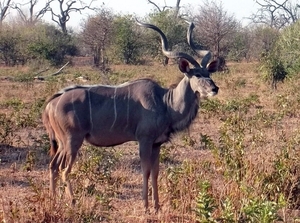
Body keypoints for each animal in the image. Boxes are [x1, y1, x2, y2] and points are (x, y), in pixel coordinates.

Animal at [42, 19, 219, 213]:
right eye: (197, 75)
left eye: (209, 73)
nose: (214, 89)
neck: (165, 102)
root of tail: (50, 104)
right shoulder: (144, 140)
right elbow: (146, 171)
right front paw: (146, 207)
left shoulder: (156, 144)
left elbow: (155, 172)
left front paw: (157, 207)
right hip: (72, 141)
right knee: (64, 169)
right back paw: (73, 202)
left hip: (61, 143)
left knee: (53, 165)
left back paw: (53, 200)